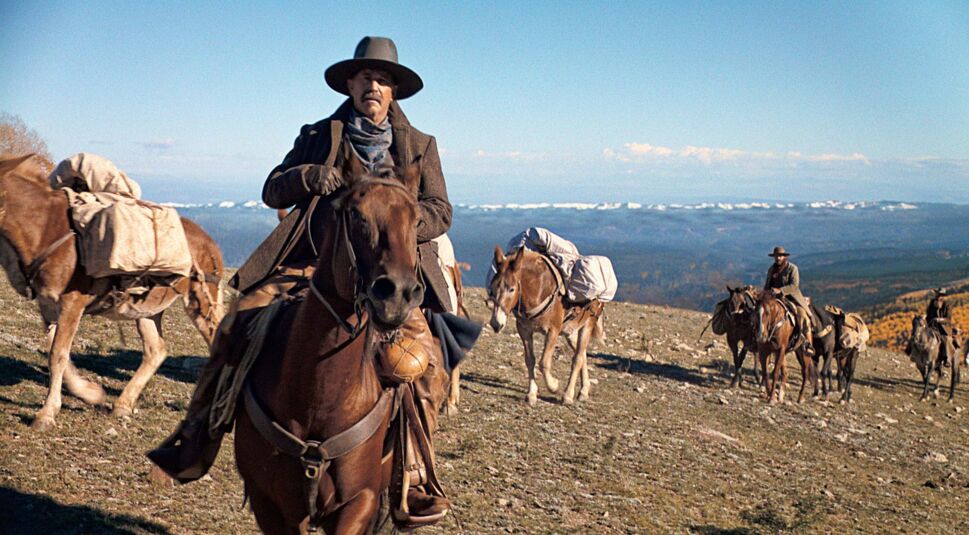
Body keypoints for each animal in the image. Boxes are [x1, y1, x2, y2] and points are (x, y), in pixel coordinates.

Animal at [0, 154, 224, 431]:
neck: (45, 229)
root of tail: (210, 242)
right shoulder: (48, 305)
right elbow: (57, 352)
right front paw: (89, 393)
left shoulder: (72, 304)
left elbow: (57, 355)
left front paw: (46, 414)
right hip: (146, 309)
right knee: (156, 350)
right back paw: (123, 405)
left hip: (200, 302)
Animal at [232, 163, 450, 533]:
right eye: (356, 215)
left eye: (417, 220)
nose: (397, 295)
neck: (319, 398)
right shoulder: (269, 504)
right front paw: (317, 176)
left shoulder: (360, 501)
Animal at [488, 246, 604, 406]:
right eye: (492, 289)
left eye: (511, 289)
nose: (496, 324)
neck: (538, 289)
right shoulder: (524, 330)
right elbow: (530, 360)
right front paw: (531, 394)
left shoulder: (552, 331)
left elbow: (543, 363)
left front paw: (554, 386)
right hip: (570, 331)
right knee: (583, 355)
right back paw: (583, 391)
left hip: (587, 325)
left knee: (577, 359)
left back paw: (568, 395)